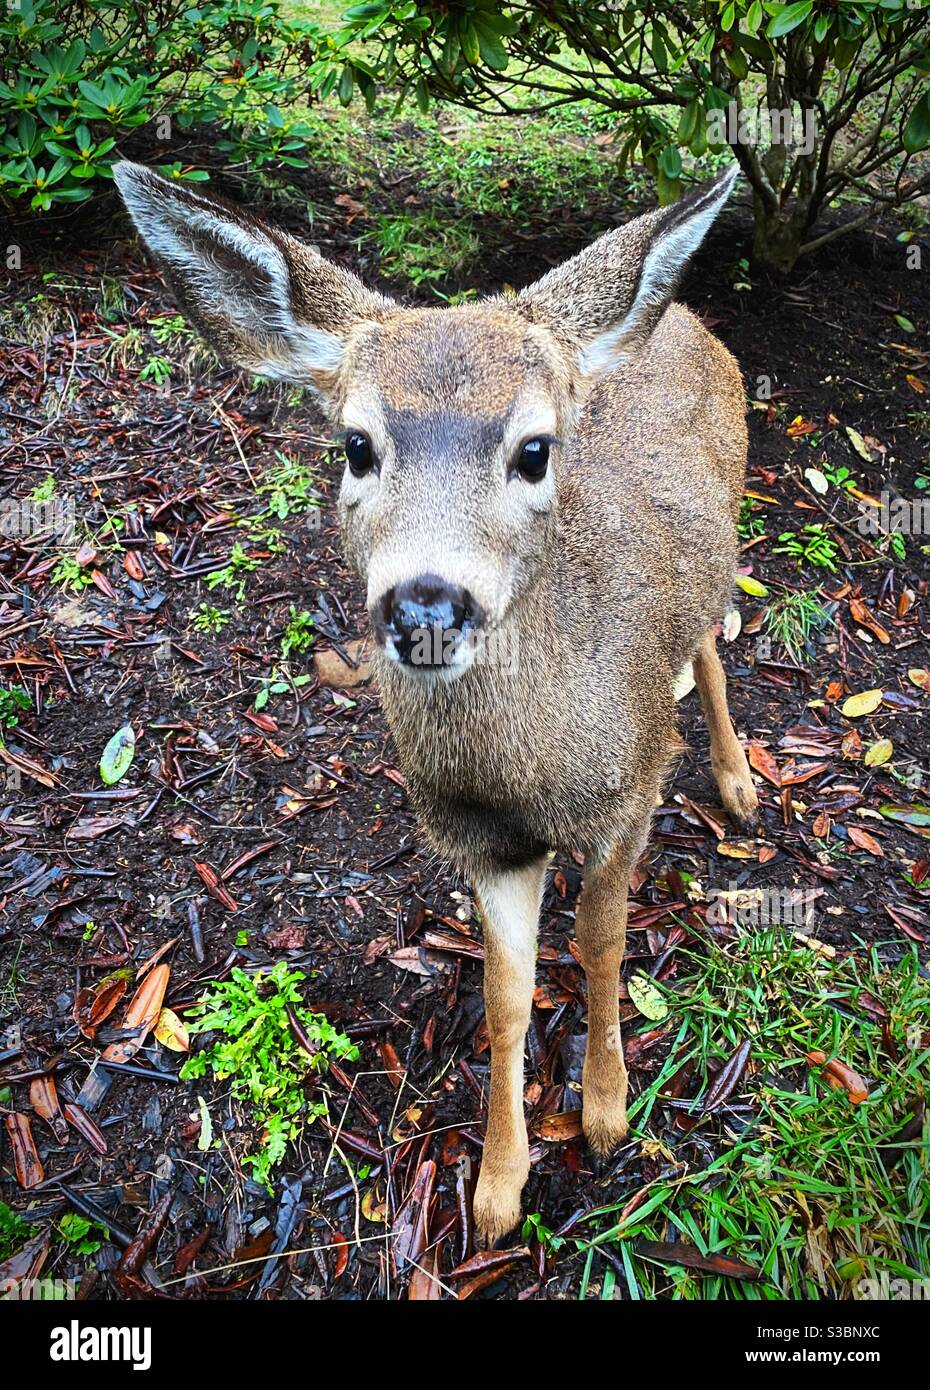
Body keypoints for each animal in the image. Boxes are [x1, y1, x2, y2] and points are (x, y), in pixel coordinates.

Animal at [113, 162, 756, 1251]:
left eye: (534, 449)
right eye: (355, 444)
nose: (424, 600)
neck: (528, 774)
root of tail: (680, 316)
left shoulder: (627, 795)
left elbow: (601, 945)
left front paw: (607, 1112)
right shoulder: (484, 846)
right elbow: (505, 996)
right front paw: (498, 1189)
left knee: (712, 636)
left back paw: (741, 780)